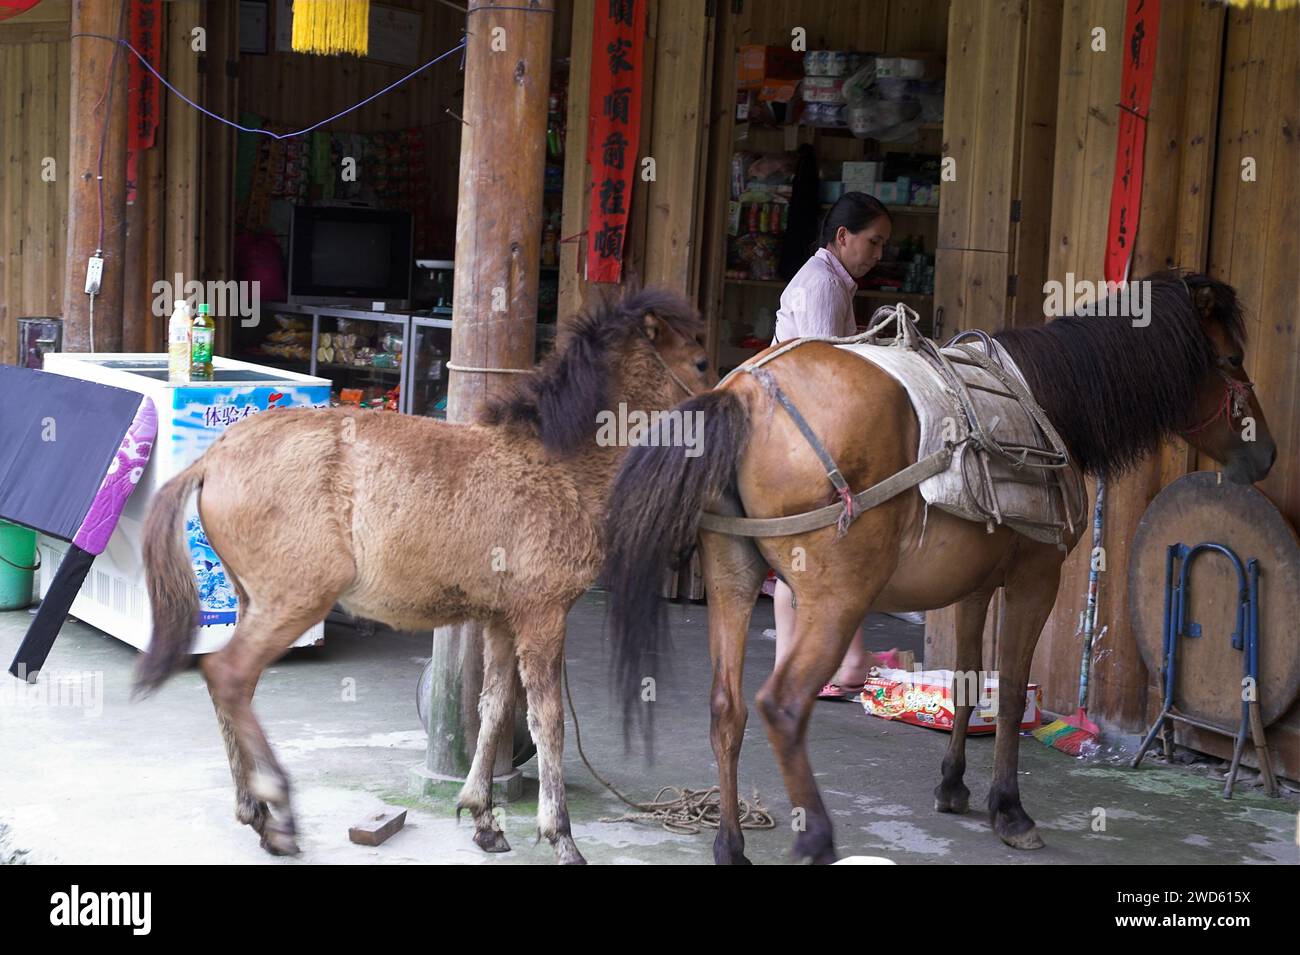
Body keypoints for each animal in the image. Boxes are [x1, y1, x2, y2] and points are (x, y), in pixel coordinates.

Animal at [137, 287, 717, 862]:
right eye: (701, 361)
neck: (555, 466)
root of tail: (213, 458)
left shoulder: (502, 620)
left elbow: (495, 708)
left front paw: (483, 818)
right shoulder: (543, 616)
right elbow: (546, 719)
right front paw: (561, 836)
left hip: (254, 601)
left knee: (233, 684)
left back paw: (254, 811)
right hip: (294, 601)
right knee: (230, 675)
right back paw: (277, 811)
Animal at [603, 270, 1274, 867]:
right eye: (1232, 358)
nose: (1265, 453)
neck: (1045, 401)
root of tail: (744, 393)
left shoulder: (972, 588)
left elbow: (969, 680)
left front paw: (954, 784)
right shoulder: (1036, 580)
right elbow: (1010, 696)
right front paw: (1009, 809)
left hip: (731, 577)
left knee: (728, 707)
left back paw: (731, 845)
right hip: (837, 597)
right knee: (783, 706)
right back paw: (816, 837)